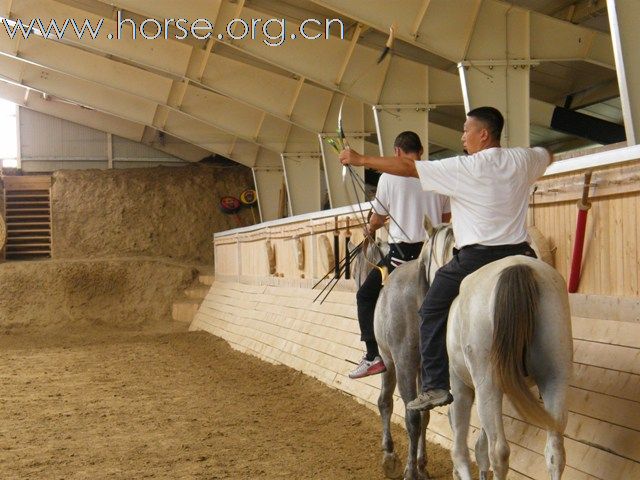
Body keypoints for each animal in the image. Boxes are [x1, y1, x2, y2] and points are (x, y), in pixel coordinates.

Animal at [352, 223, 572, 480]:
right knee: (554, 451)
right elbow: (471, 440)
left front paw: (394, 460)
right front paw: (425, 465)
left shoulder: (402, 364)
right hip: (554, 377)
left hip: (472, 379)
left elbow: (390, 405)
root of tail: (518, 269)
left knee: (493, 449)